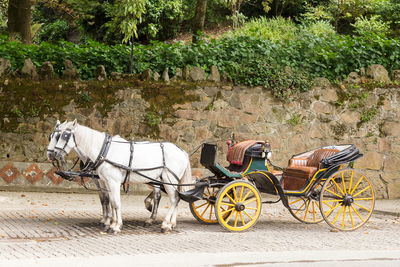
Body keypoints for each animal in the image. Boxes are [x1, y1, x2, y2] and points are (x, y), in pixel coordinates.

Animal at [52, 120, 193, 233]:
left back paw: (166, 225)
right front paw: (111, 223)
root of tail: (182, 151)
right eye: (53, 136)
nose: (52, 154)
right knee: (175, 198)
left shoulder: (113, 181)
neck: (105, 151)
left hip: (169, 180)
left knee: (174, 199)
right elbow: (110, 201)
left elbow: (115, 203)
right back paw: (170, 223)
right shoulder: (106, 181)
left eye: (64, 135)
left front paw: (115, 226)